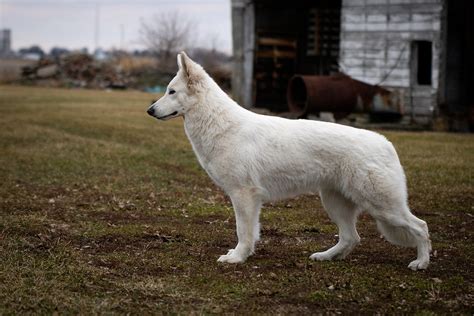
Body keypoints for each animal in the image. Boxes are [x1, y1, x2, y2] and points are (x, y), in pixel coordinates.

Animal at [146, 51, 432, 270]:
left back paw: (421, 263)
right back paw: (327, 256)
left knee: (421, 226)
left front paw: (237, 258)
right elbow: (251, 232)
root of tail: (385, 143)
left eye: (171, 92)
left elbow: (243, 231)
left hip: (382, 206)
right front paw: (244, 255)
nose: (149, 110)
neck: (219, 124)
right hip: (335, 203)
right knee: (352, 238)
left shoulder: (243, 195)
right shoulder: (249, 199)